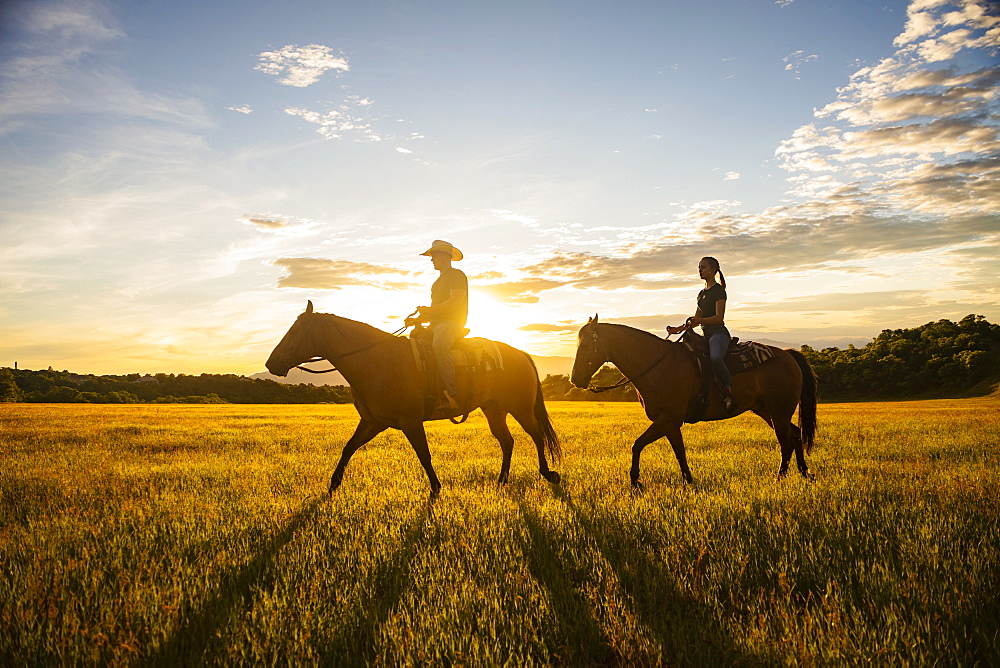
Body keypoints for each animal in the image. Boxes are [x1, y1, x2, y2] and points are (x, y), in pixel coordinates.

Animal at [266, 302, 564, 496]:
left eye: (295, 331)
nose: (271, 363)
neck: (377, 360)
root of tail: (521, 354)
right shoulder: (373, 422)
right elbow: (348, 448)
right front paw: (332, 486)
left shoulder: (410, 421)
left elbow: (424, 454)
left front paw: (435, 489)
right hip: (494, 409)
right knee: (507, 441)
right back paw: (501, 481)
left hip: (521, 408)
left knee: (536, 435)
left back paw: (548, 473)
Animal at [576, 316, 816, 488]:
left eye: (586, 345)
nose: (575, 379)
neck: (657, 365)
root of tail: (788, 355)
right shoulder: (670, 423)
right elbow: (678, 452)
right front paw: (688, 481)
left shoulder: (668, 419)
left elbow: (639, 445)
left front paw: (635, 481)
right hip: (768, 411)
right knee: (795, 434)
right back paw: (805, 473)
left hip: (778, 412)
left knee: (786, 443)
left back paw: (779, 478)